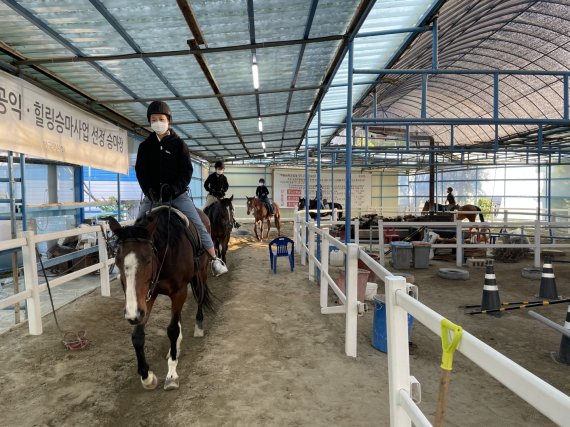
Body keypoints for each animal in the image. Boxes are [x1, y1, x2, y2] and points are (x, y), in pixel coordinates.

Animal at [107, 207, 212, 392]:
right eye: (118, 262)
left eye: (148, 260)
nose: (131, 315)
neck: (167, 252)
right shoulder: (147, 297)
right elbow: (138, 336)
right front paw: (147, 376)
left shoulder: (179, 292)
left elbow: (172, 330)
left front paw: (171, 374)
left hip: (202, 272)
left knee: (199, 297)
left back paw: (199, 326)